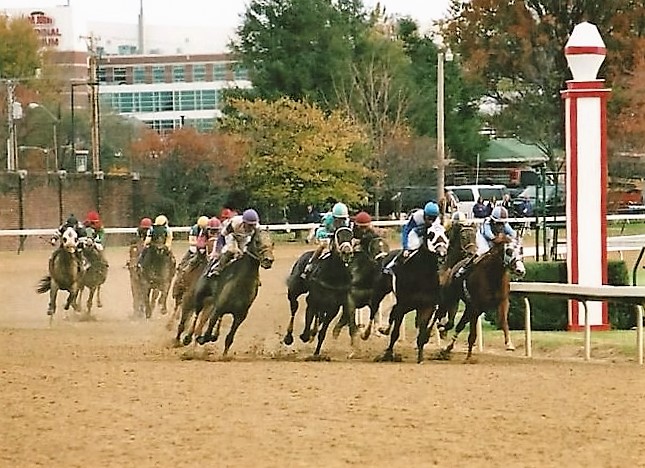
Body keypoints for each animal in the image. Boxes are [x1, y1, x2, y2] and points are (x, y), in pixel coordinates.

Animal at [282, 227, 352, 358]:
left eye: (351, 236)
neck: (333, 275)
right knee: (294, 306)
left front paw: (316, 353)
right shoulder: (313, 300)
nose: (347, 252)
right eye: (338, 236)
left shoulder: (333, 308)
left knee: (318, 317)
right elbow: (308, 318)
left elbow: (322, 332)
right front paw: (305, 336)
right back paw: (289, 337)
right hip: (295, 289)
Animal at [362, 223, 448, 362]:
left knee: (391, 311)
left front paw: (420, 358)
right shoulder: (403, 305)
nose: (442, 253)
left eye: (445, 234)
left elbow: (421, 334)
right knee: (374, 308)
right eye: (431, 234)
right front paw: (387, 354)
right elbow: (395, 333)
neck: (422, 275)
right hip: (379, 291)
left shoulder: (427, 307)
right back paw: (366, 333)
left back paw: (384, 329)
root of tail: (385, 255)